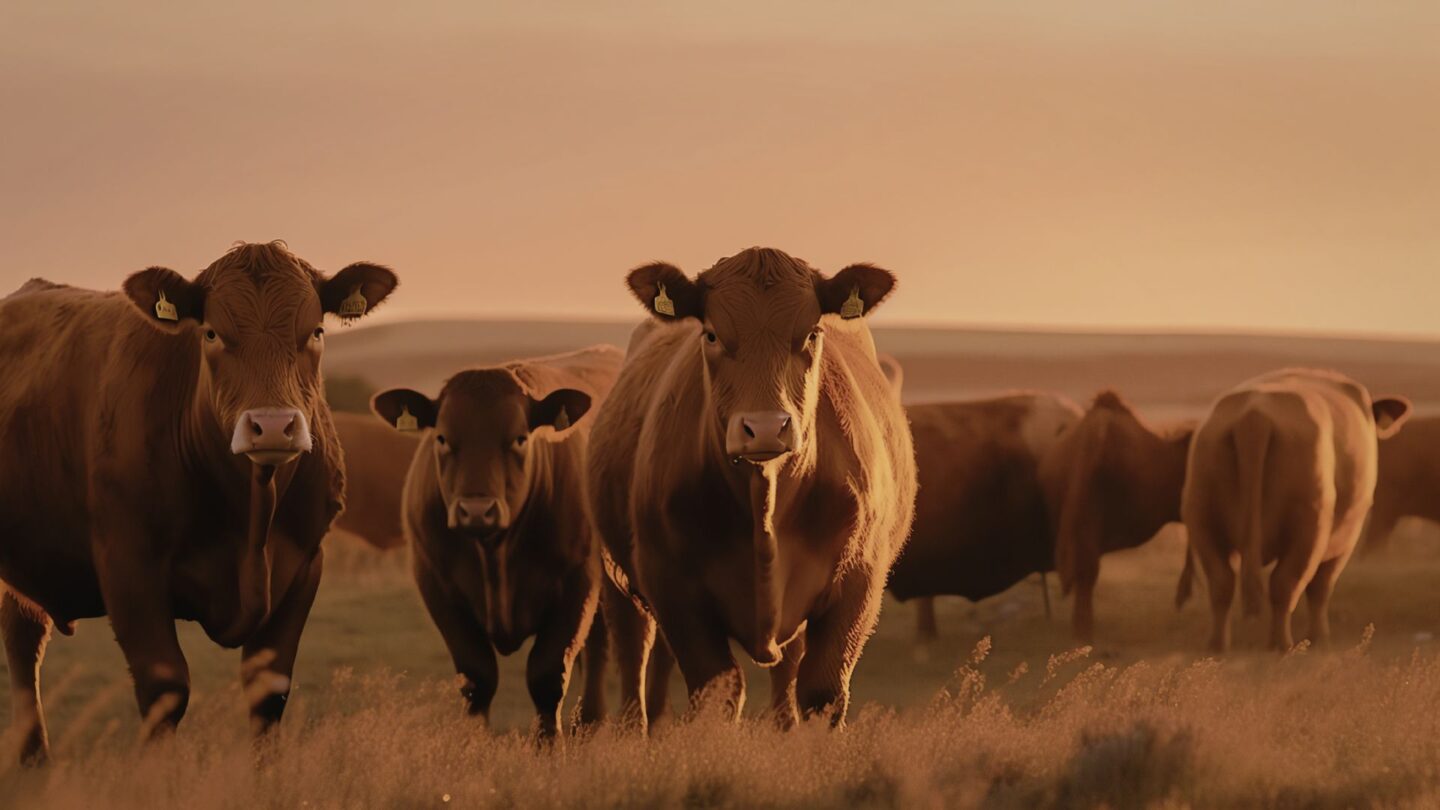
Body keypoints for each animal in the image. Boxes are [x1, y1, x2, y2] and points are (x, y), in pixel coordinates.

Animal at [0, 241, 396, 764]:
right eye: (211, 333)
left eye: (315, 331)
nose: (273, 426)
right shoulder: (128, 562)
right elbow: (165, 686)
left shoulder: (306, 564)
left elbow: (269, 692)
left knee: (22, 638)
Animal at [371, 346, 623, 739]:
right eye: (442, 438)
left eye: (519, 438)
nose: (476, 511)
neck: (495, 553)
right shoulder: (436, 584)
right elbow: (477, 677)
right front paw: (474, 744)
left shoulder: (577, 583)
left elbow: (547, 676)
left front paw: (549, 745)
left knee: (603, 653)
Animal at [588, 247, 917, 730]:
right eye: (710, 334)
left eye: (812, 333)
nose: (765, 428)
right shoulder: (672, 585)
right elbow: (718, 690)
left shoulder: (858, 582)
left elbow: (822, 692)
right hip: (618, 578)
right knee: (634, 653)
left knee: (786, 670)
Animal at [1178, 369, 1409, 652]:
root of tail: (1255, 415)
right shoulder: (1345, 539)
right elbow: (1321, 587)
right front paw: (1320, 638)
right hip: (1309, 525)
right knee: (1285, 584)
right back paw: (1282, 646)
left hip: (1203, 515)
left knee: (1222, 583)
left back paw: (1218, 646)